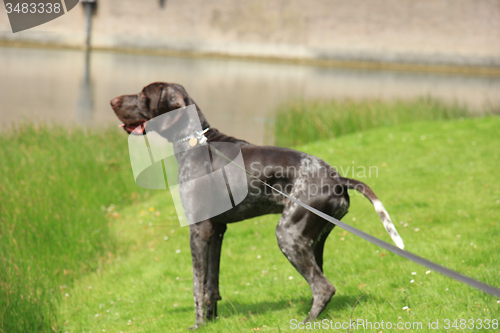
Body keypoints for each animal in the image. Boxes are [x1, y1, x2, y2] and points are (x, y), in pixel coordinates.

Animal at [111, 81, 404, 328]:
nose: (112, 100)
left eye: (144, 94)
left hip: (288, 234)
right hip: (314, 240)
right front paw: (212, 321)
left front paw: (198, 325)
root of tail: (337, 178)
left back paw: (305, 322)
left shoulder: (199, 230)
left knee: (324, 287)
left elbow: (197, 285)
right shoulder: (217, 230)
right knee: (320, 282)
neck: (193, 142)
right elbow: (211, 285)